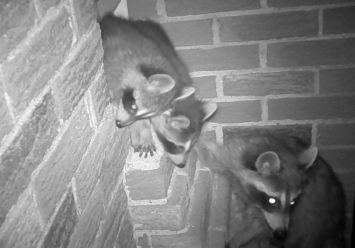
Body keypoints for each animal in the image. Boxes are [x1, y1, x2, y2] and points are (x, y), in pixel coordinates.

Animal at [196, 134, 346, 248]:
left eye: (293, 202)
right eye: (272, 200)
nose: (281, 233)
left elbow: (259, 224)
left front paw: (239, 238)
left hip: (314, 224)